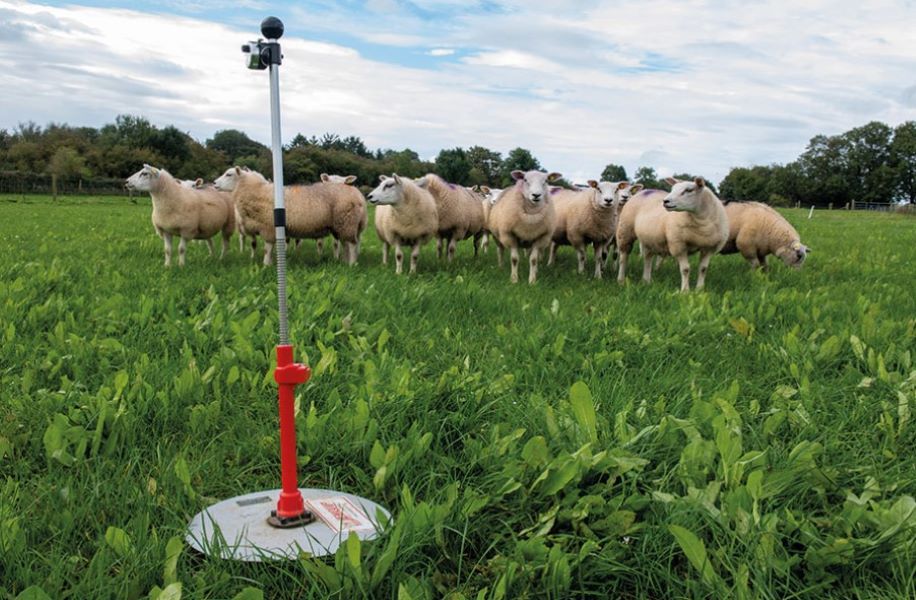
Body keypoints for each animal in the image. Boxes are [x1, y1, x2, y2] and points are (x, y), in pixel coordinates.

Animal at [213, 167, 366, 266]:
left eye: (229, 174)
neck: (256, 190)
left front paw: (266, 265)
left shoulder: (268, 228)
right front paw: (270, 263)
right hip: (342, 226)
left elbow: (267, 249)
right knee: (346, 244)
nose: (214, 183)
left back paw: (352, 265)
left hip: (347, 222)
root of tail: (356, 194)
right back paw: (345, 262)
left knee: (352, 245)